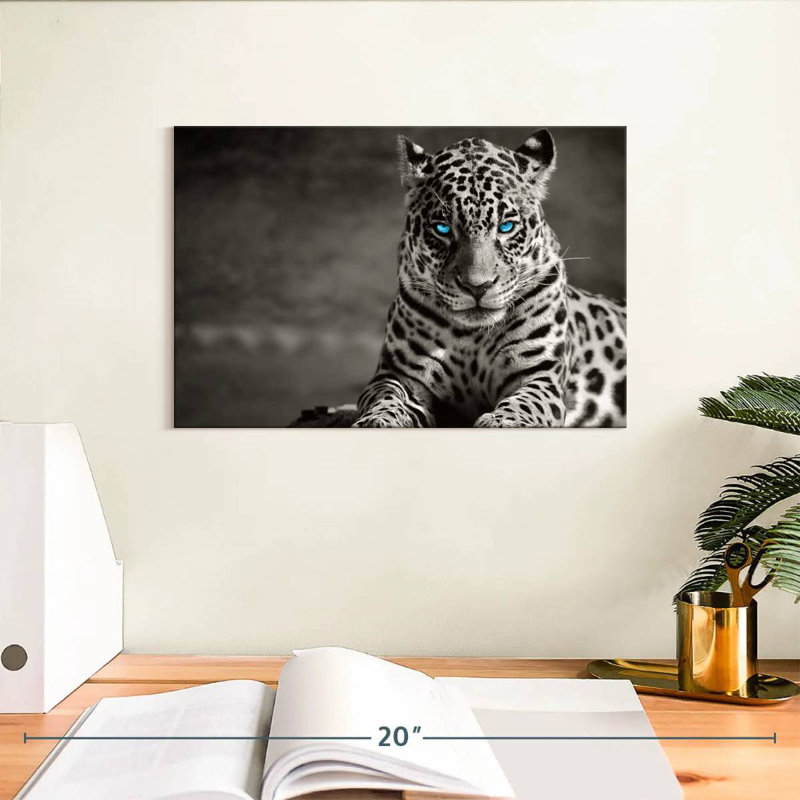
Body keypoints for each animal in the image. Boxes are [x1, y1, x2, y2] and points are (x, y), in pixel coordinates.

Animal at [353, 129, 626, 428]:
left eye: (506, 226)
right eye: (442, 229)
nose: (477, 286)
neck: (472, 336)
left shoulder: (539, 375)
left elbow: (524, 404)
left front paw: (502, 422)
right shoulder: (398, 373)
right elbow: (386, 398)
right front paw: (377, 420)